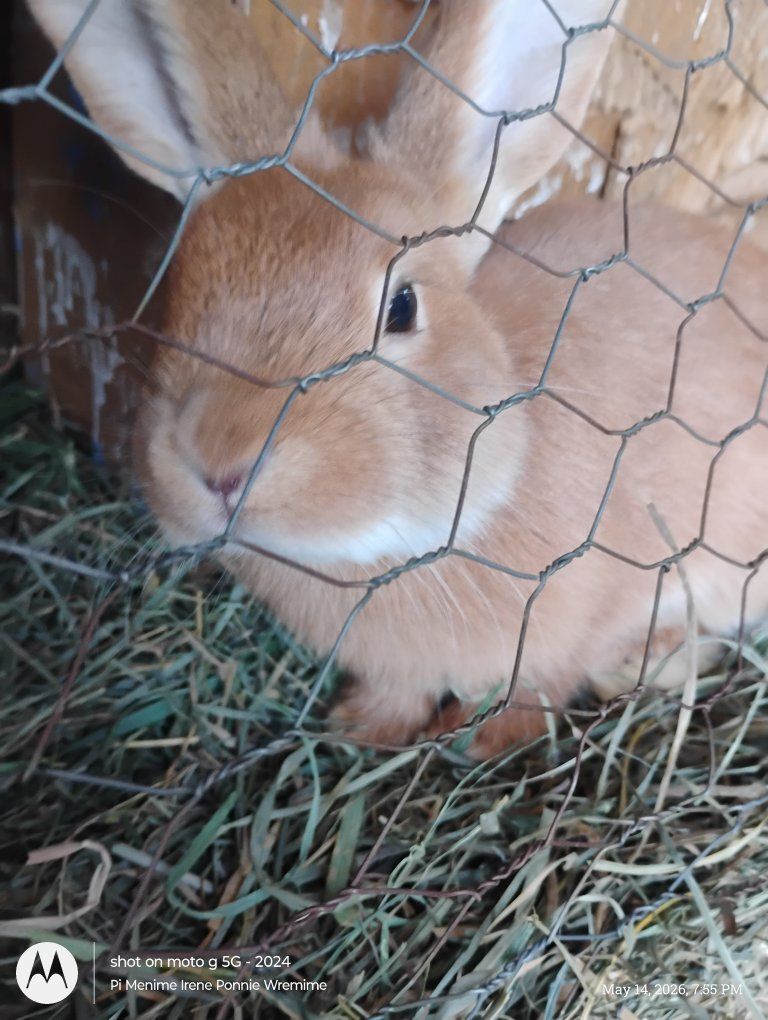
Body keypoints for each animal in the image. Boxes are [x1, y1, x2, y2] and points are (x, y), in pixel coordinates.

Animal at [29, 0, 768, 758]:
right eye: (177, 291)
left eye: (403, 307)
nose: (219, 463)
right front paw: (363, 727)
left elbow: (541, 686)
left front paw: (482, 742)